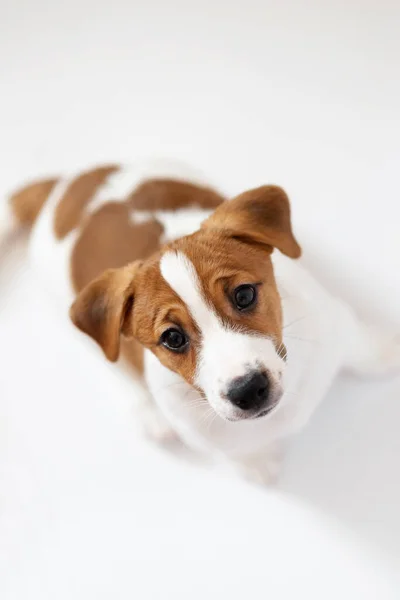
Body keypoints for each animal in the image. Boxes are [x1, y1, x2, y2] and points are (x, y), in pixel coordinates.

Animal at [3, 158, 400, 482]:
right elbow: (240, 451)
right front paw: (256, 464)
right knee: (116, 369)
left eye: (244, 295)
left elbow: (359, 344)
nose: (248, 390)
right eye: (173, 338)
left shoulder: (331, 319)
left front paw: (384, 353)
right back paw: (150, 415)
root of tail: (66, 184)